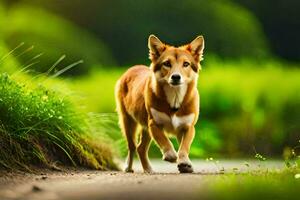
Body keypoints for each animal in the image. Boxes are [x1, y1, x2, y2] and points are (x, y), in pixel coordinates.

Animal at [115, 34, 204, 173]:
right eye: (167, 63)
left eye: (186, 64)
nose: (176, 77)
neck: (174, 100)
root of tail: (132, 68)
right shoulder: (154, 124)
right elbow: (164, 140)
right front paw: (171, 155)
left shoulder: (188, 127)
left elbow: (184, 146)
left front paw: (184, 162)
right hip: (128, 121)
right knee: (132, 146)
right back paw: (128, 167)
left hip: (145, 128)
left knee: (141, 148)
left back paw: (148, 169)